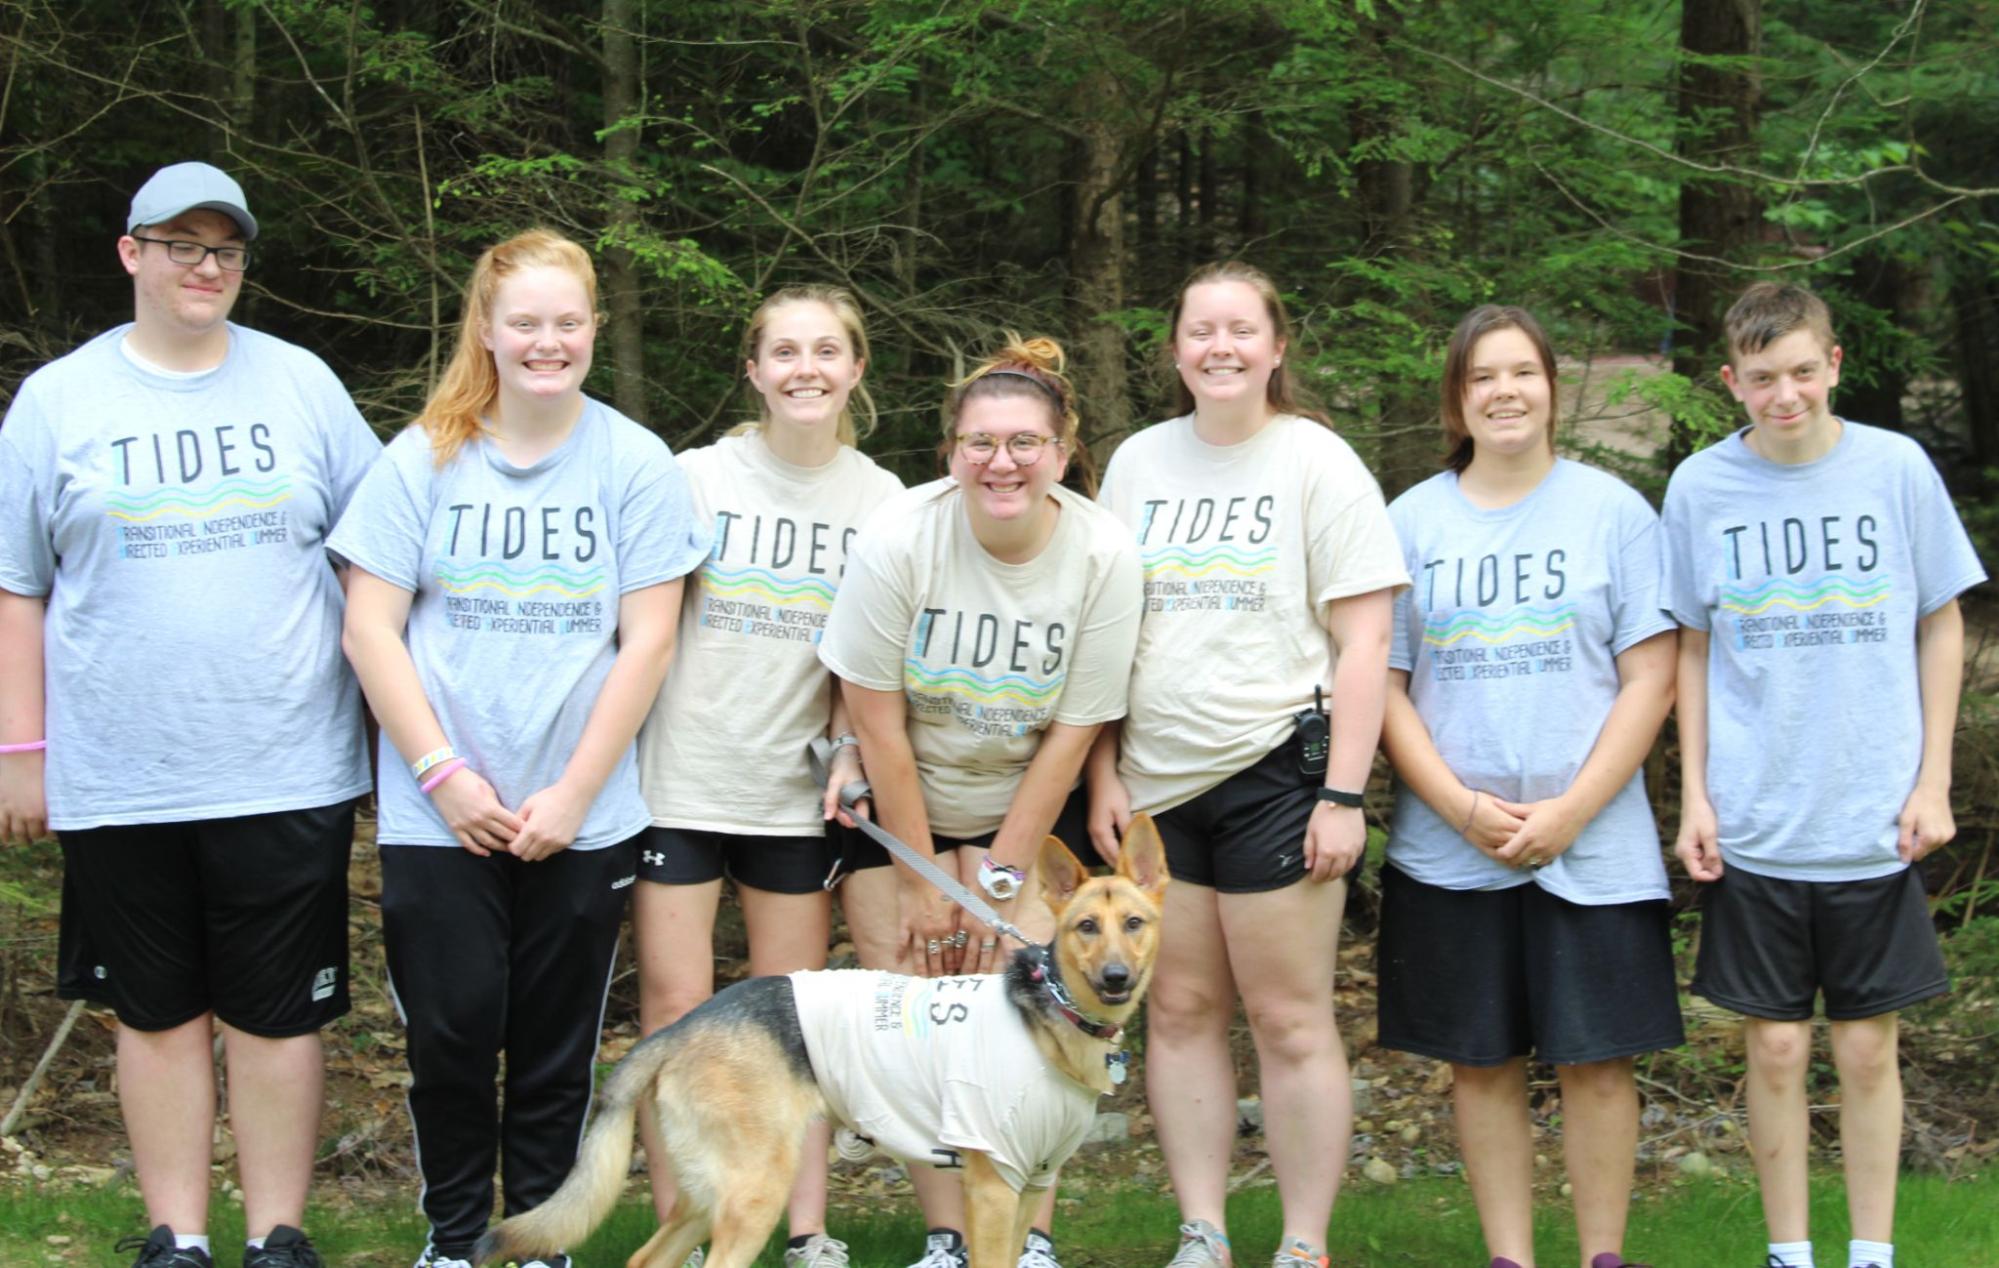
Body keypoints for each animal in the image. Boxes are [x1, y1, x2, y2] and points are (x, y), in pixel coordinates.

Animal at [473, 808, 1167, 1264]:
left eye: (1134, 924)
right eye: (1084, 927)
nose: (1116, 978)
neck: (1050, 1018)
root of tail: (679, 1027)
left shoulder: (1032, 1185)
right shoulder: (993, 1190)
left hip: (704, 1195)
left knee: (646, 1260)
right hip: (754, 1195)